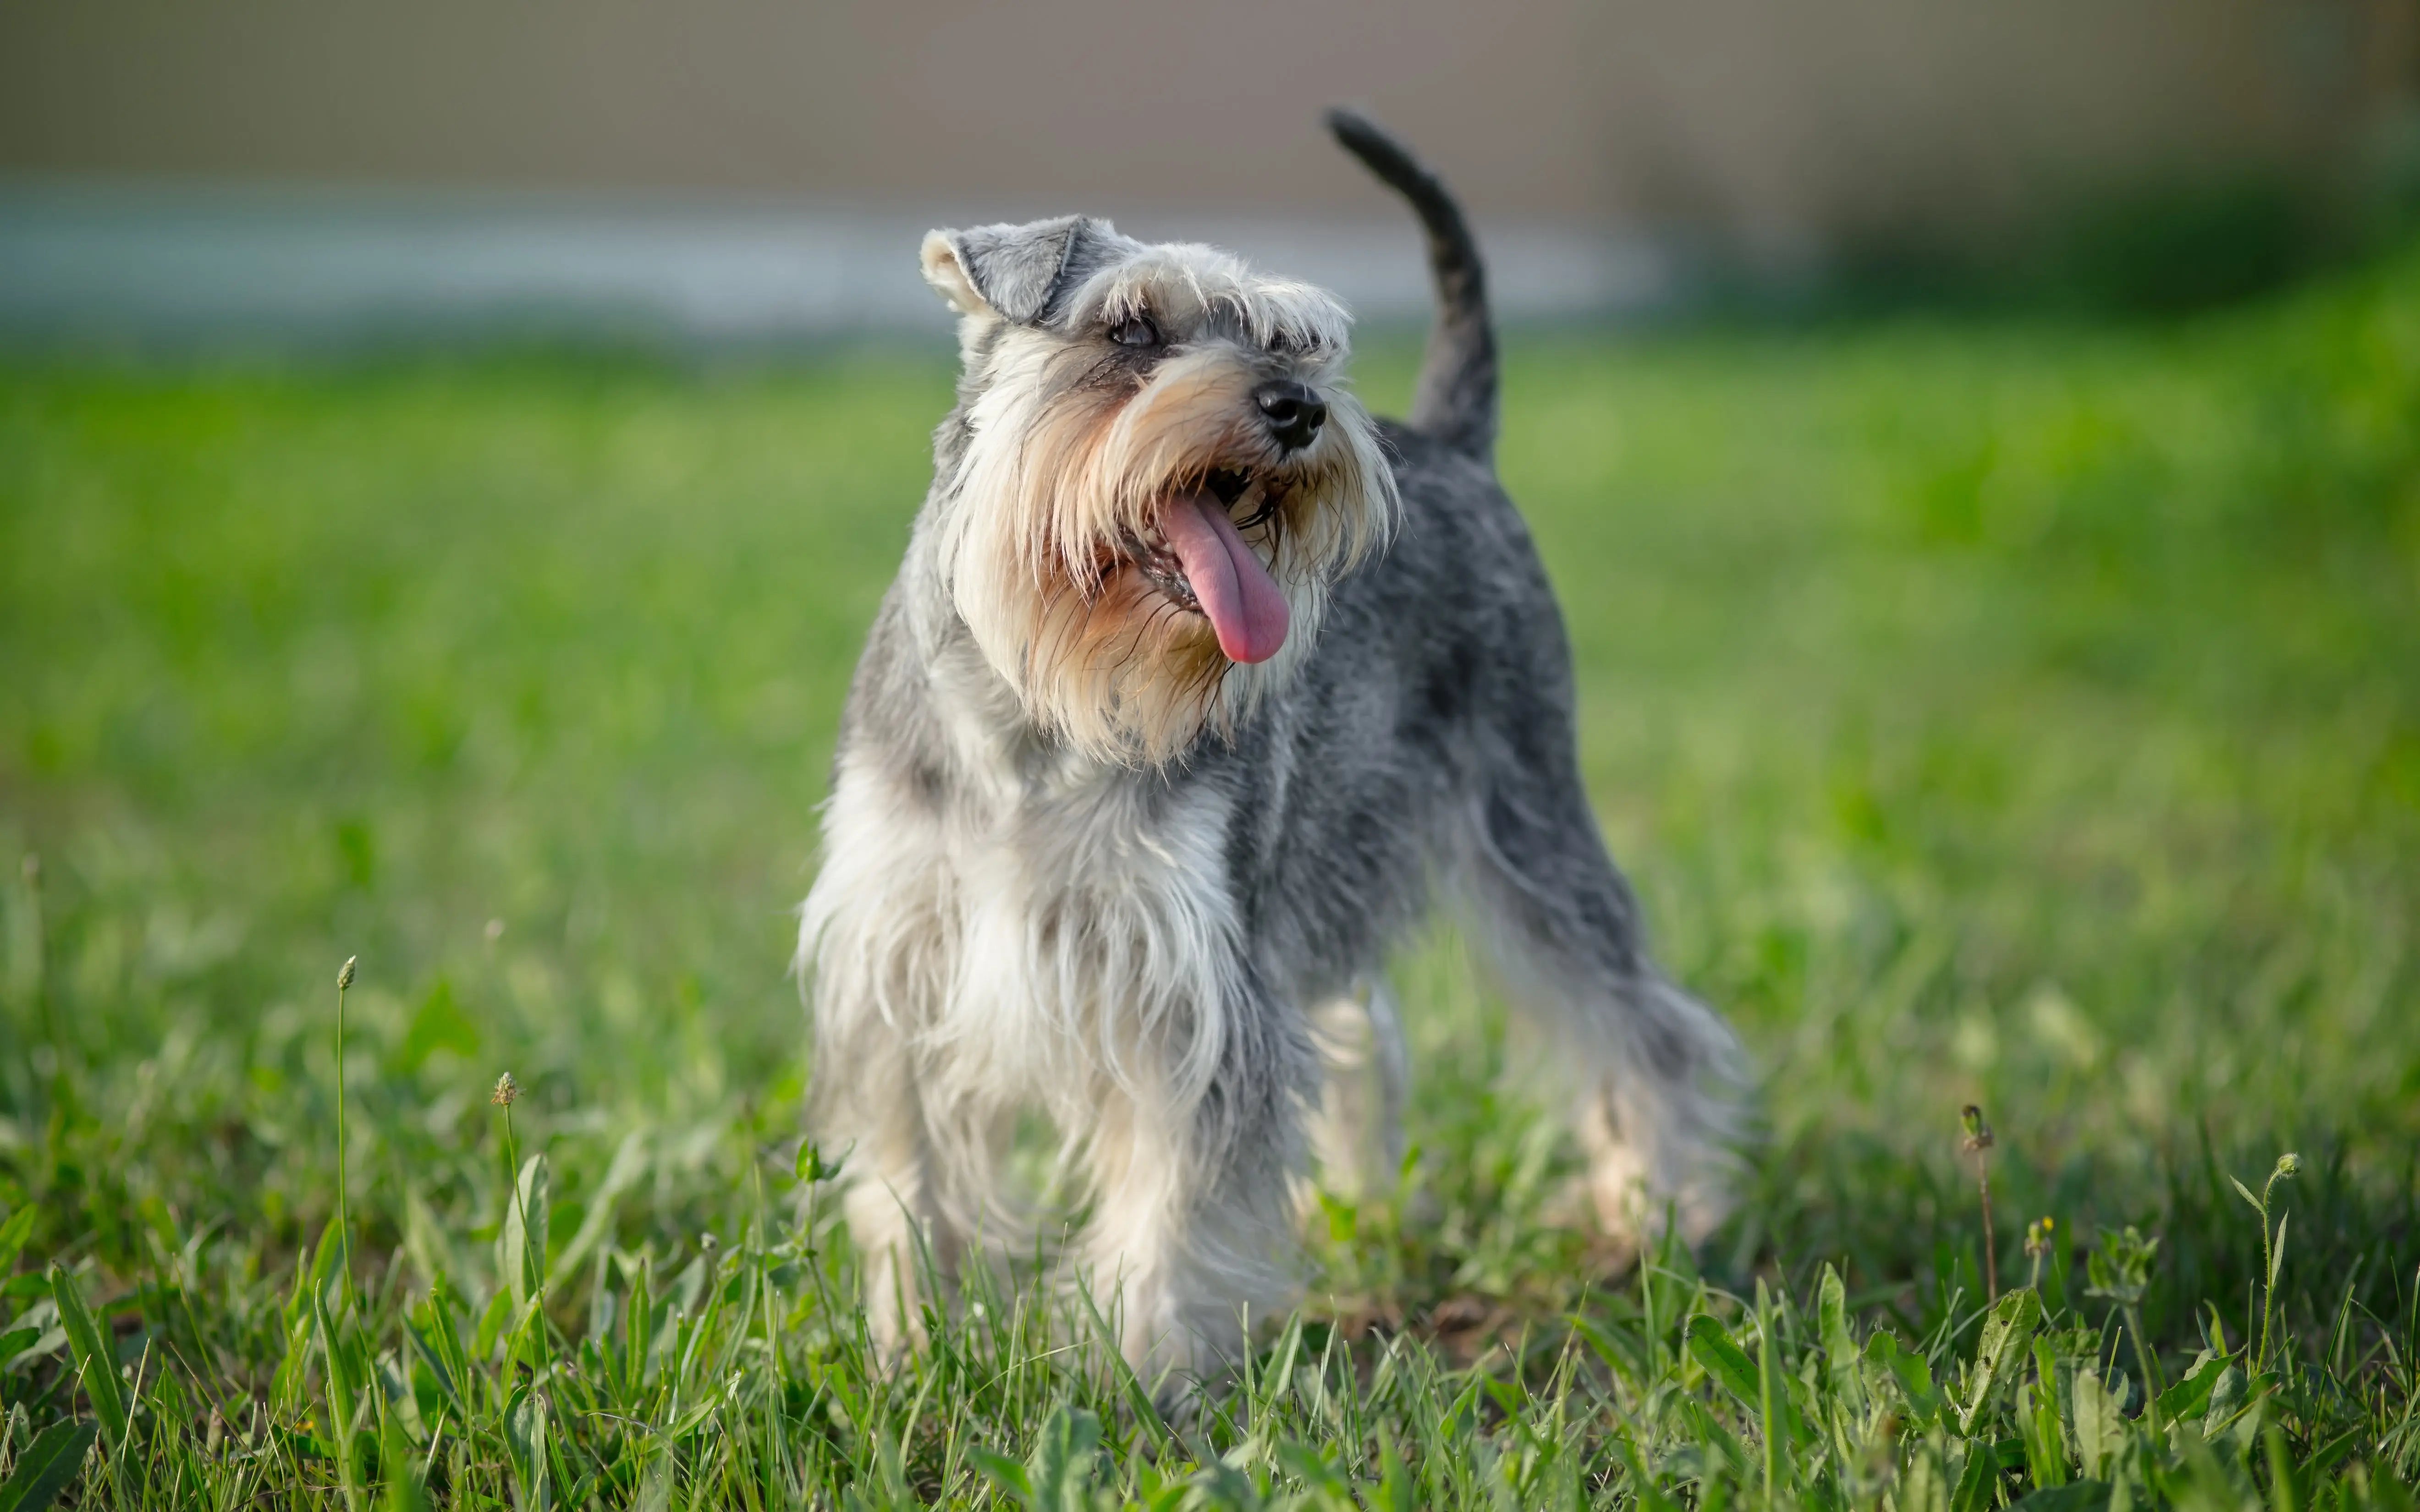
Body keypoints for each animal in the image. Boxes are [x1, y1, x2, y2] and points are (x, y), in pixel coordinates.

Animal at [798, 109, 1742, 1393]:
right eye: (1129, 329)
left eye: (1293, 339)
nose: (1298, 407)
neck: (1037, 716)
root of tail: (1455, 442)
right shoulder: (899, 968)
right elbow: (909, 1187)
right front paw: (911, 1346)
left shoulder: (1192, 986)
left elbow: (1171, 1201)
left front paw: (1134, 1374)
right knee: (1363, 1032)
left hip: (1529, 825)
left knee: (1637, 1021)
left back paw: (1659, 1211)